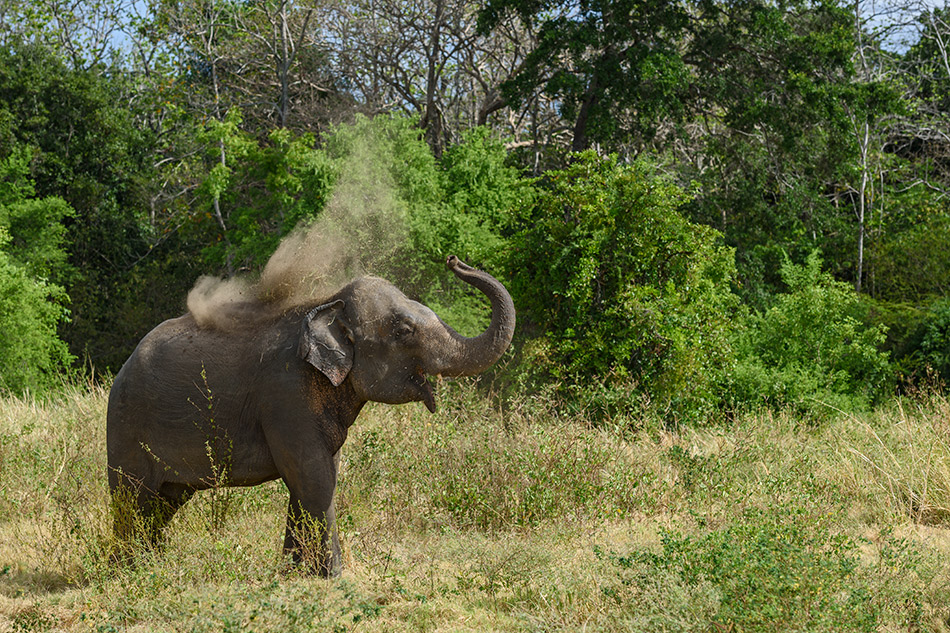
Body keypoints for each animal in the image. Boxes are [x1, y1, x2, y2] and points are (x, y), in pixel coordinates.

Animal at [107, 254, 516, 576]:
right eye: (403, 330)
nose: (453, 259)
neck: (326, 303)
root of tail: (125, 365)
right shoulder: (285, 395)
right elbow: (314, 477)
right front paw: (332, 578)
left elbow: (316, 478)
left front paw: (292, 574)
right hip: (126, 426)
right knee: (132, 498)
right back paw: (128, 571)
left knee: (163, 503)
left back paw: (149, 564)